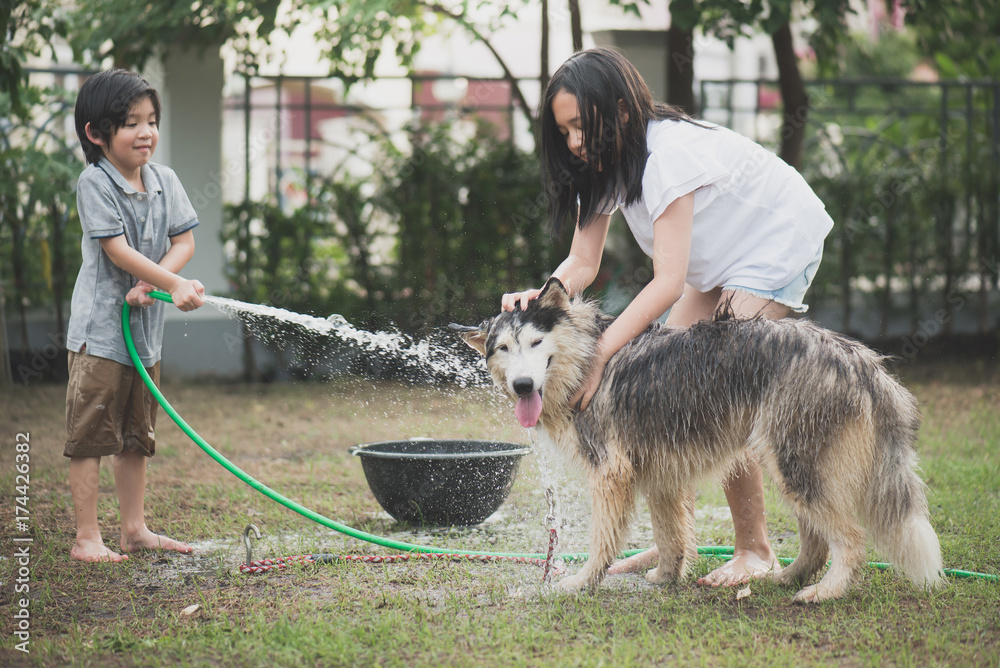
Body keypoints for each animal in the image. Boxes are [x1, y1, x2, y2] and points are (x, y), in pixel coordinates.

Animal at [458, 280, 940, 604]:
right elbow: (672, 535)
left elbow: (602, 542)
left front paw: (580, 583)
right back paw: (783, 579)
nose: (522, 386)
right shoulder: (659, 474)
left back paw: (826, 592)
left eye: (536, 341)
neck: (587, 360)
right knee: (819, 540)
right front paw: (666, 578)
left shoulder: (611, 474)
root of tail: (858, 356)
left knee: (852, 539)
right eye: (503, 349)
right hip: (794, 468)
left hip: (794, 464)